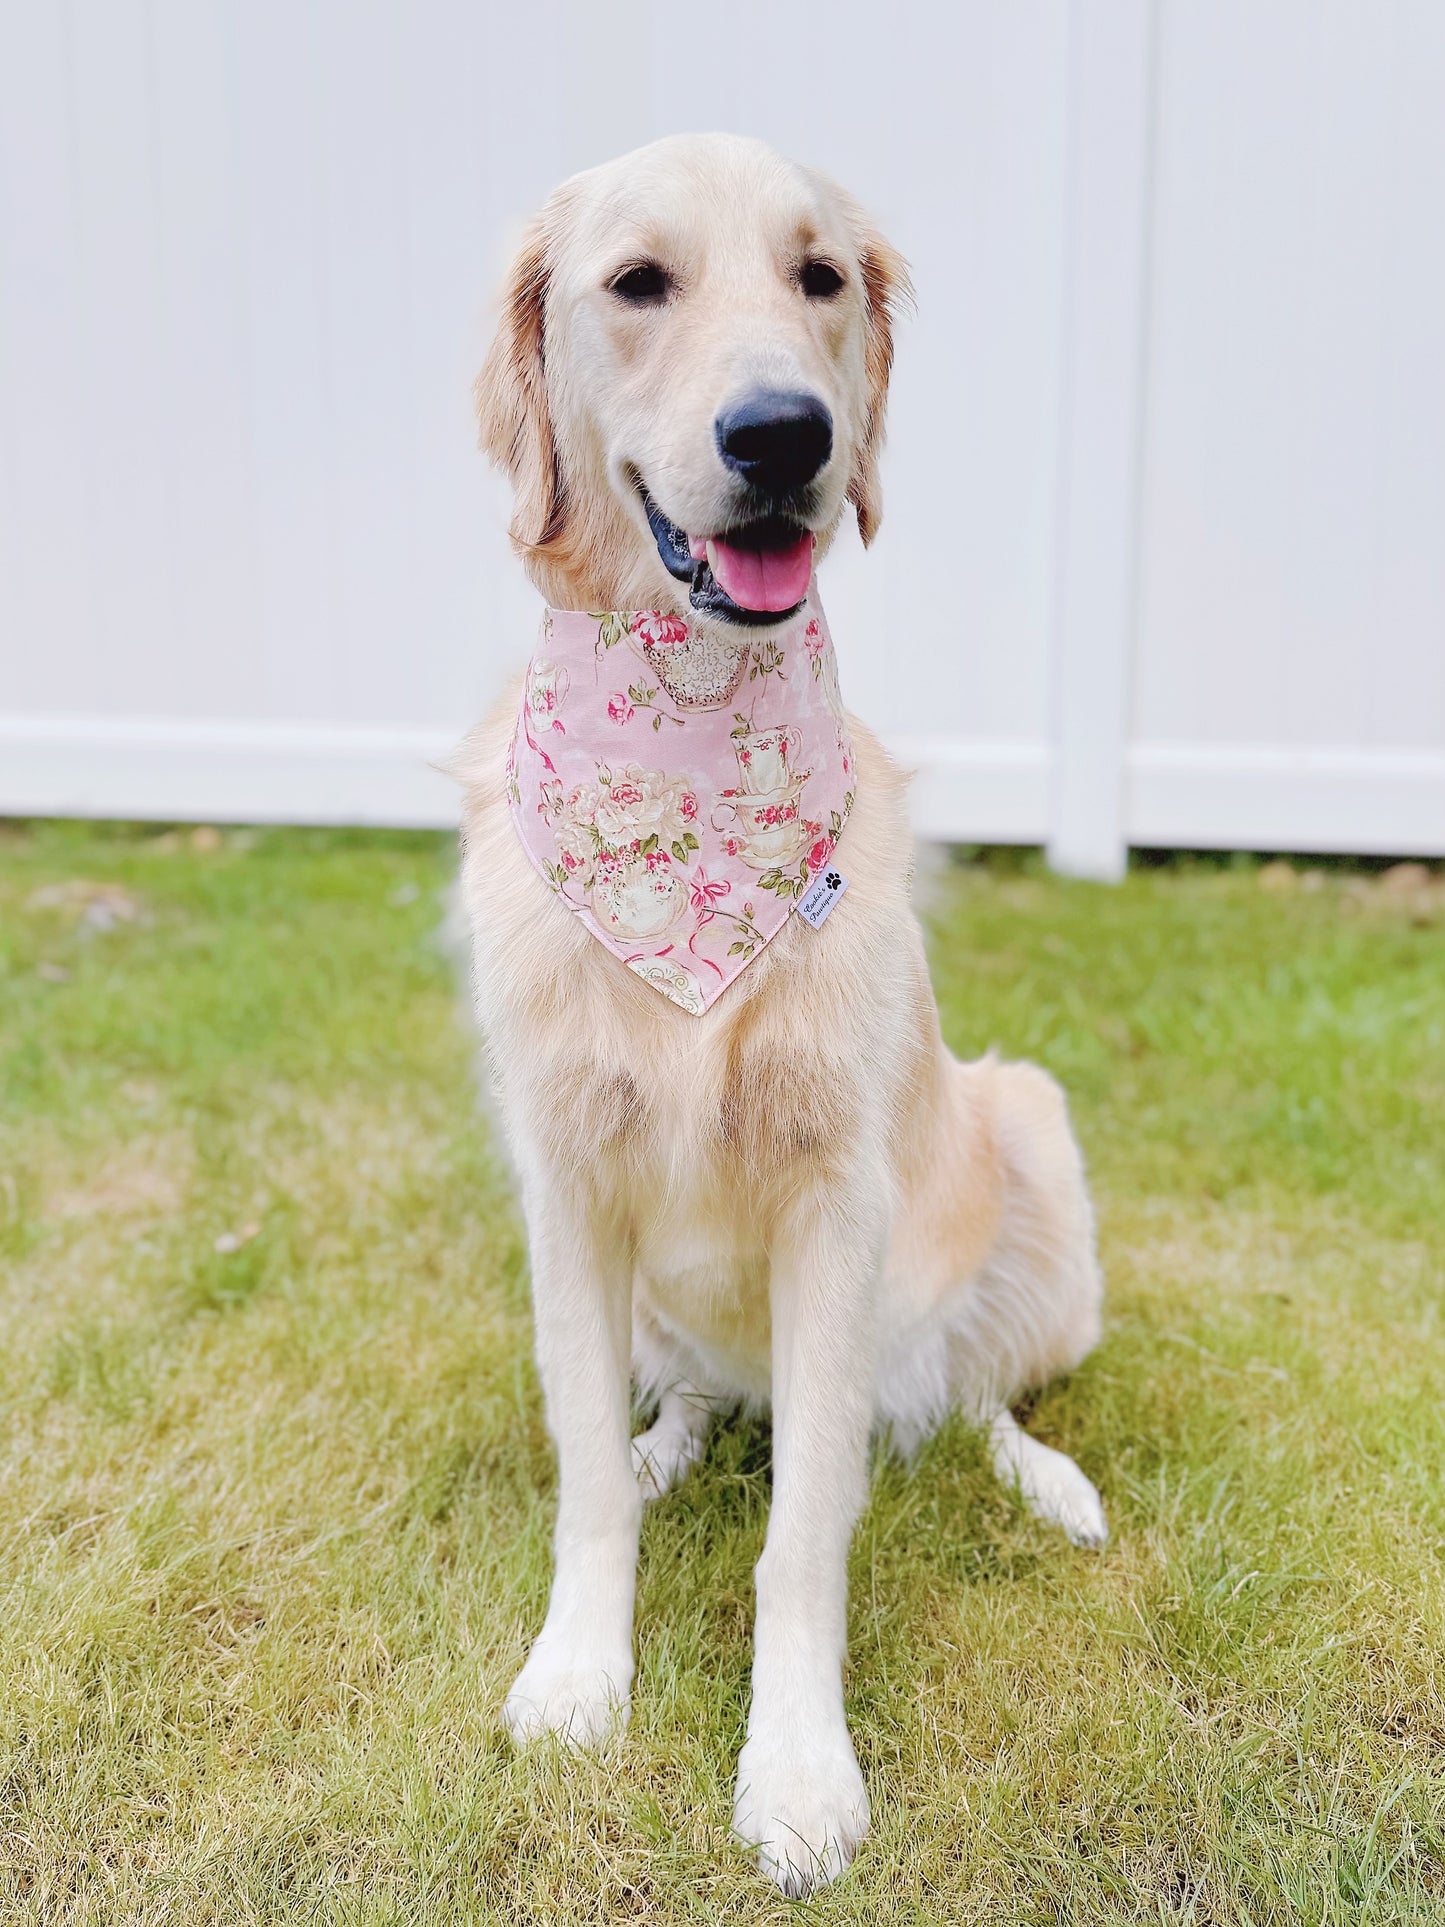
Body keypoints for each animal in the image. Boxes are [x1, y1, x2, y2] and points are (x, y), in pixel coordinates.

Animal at [452, 135, 1109, 1896]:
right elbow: (584, 1476)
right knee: (678, 1396)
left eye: (818, 278)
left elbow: (805, 1529)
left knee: (961, 1394)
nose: (784, 437)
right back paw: (672, 1437)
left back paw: (1049, 1478)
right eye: (638, 283)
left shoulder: (839, 1203)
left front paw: (800, 1769)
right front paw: (577, 1671)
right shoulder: (563, 1182)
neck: (686, 734)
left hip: (1031, 1142)